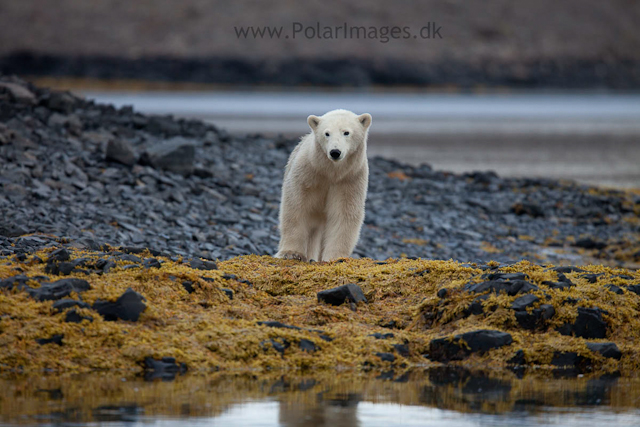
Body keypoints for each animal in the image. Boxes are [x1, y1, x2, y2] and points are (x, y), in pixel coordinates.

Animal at [274, 108, 370, 262]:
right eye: (327, 133)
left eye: (346, 132)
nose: (335, 152)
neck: (330, 172)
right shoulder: (306, 173)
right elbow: (297, 206)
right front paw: (291, 253)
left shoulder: (350, 179)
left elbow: (344, 212)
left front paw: (336, 257)